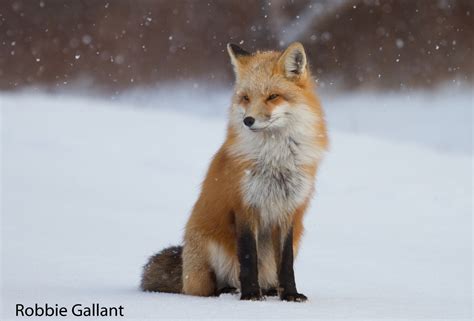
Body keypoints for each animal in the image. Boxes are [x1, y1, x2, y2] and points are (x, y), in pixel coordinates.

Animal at [139, 42, 328, 300]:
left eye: (273, 96)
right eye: (246, 98)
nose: (248, 120)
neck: (275, 160)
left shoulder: (289, 211)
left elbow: (286, 263)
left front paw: (290, 295)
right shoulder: (244, 206)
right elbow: (248, 259)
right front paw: (251, 296)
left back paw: (270, 290)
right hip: (208, 254)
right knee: (207, 289)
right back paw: (228, 291)